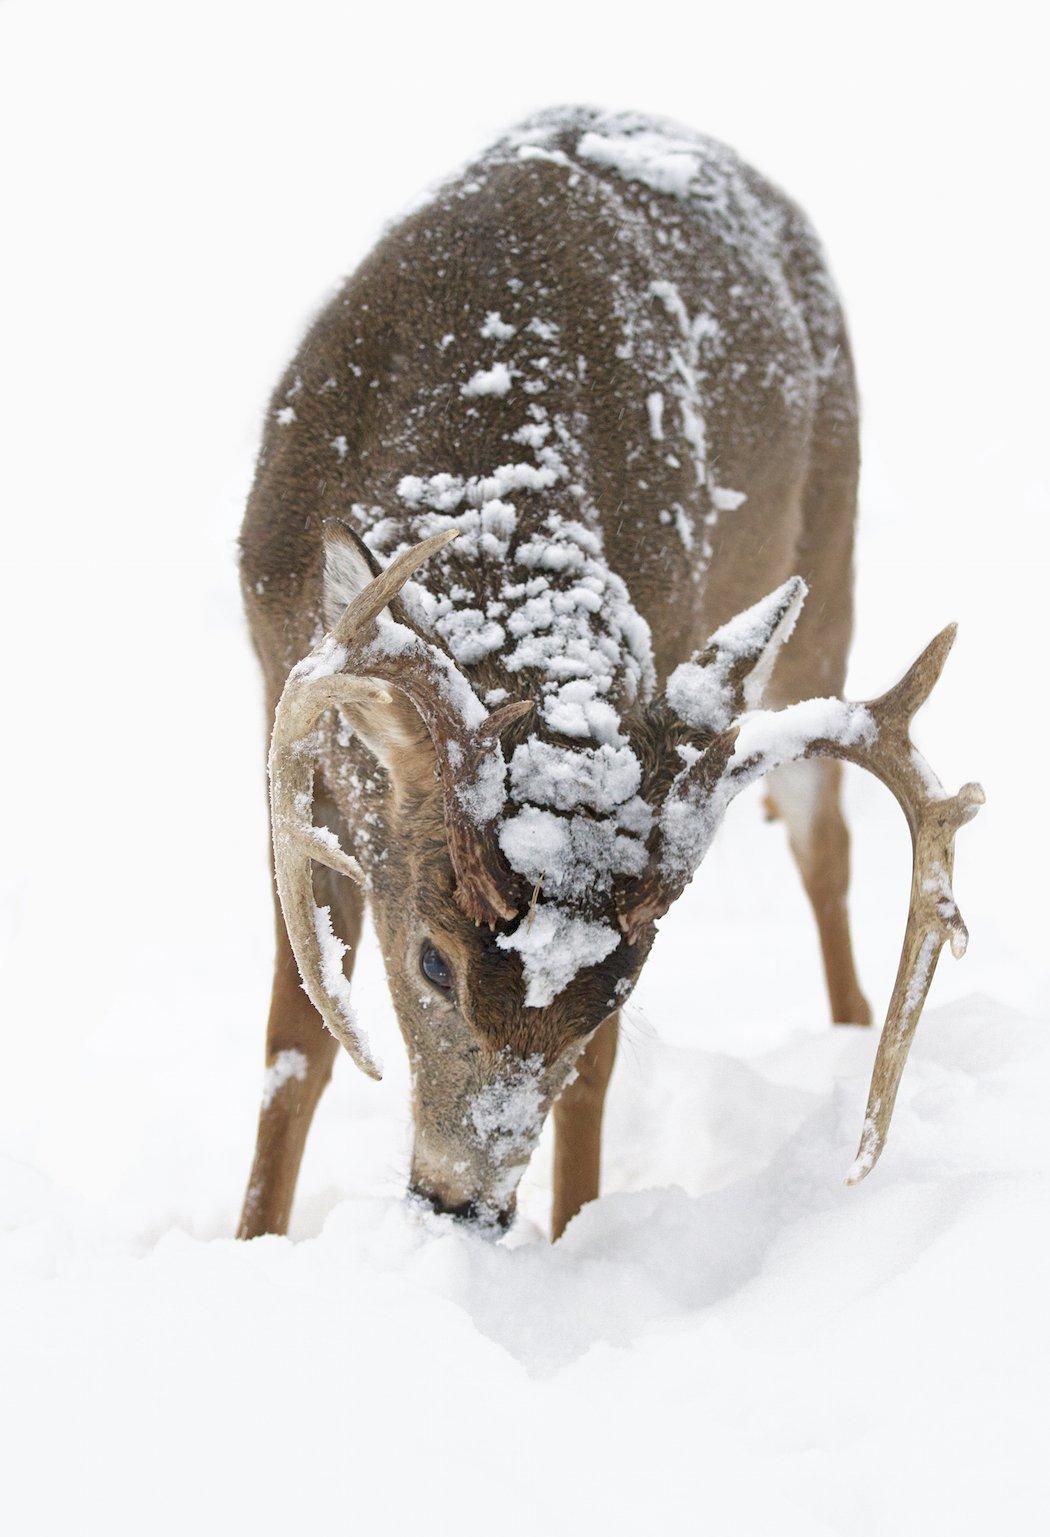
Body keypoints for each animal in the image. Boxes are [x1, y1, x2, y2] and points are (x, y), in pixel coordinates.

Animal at [233, 108, 983, 1241]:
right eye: (434, 960)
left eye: (618, 992)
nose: (462, 1202)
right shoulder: (290, 700)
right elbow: (295, 1046)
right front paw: (250, 1237)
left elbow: (594, 1084)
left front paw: (574, 1233)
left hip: (831, 552)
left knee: (827, 848)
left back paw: (852, 1039)